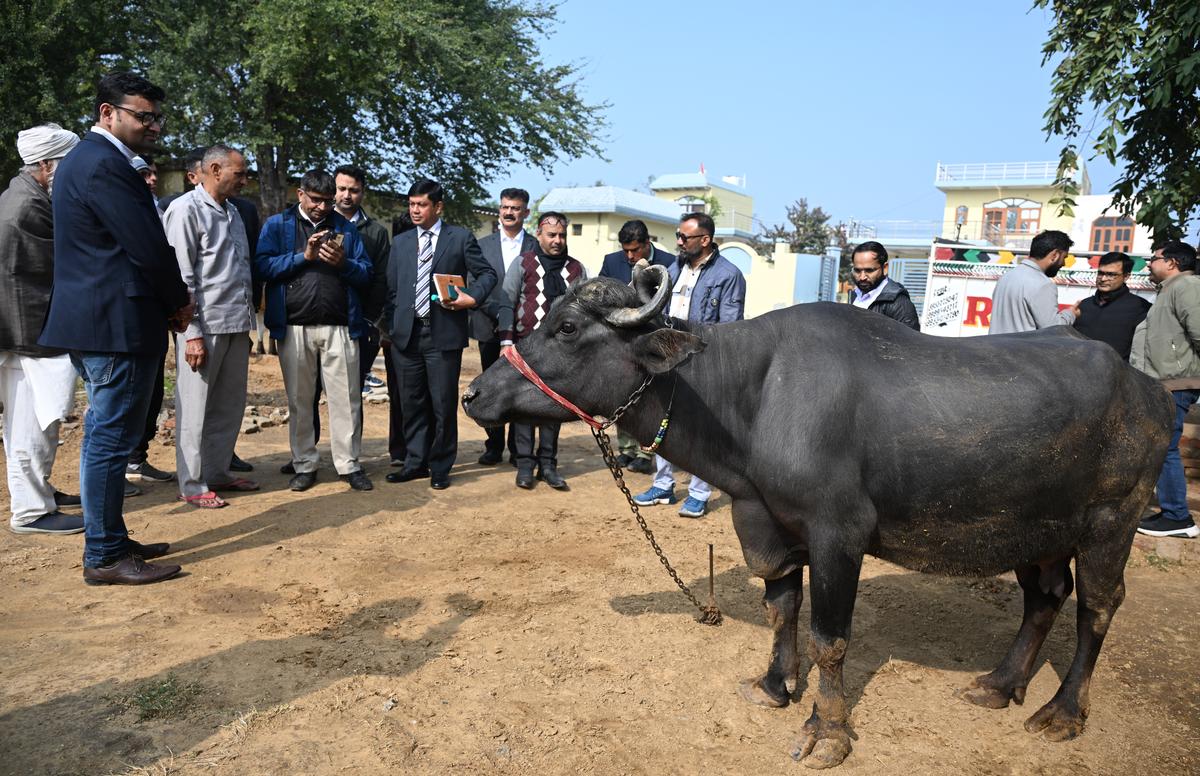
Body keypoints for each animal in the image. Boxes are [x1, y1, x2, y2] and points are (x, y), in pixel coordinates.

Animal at [458, 267, 1171, 772]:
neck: (750, 396)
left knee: (1097, 606)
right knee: (1046, 597)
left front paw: (827, 731)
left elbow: (831, 638)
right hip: (1037, 528)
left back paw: (1063, 710)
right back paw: (999, 684)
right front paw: (776, 687)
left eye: (567, 329)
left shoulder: (839, 536)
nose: (474, 393)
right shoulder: (766, 523)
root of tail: (1150, 391)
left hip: (1111, 520)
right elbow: (781, 611)